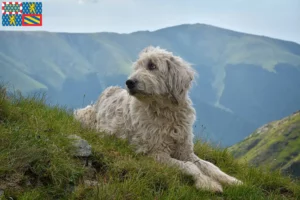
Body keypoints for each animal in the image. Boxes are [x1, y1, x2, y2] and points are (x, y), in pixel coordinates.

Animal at [74, 46, 243, 191]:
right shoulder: (155, 153)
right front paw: (207, 183)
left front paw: (232, 180)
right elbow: (190, 166)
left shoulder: (185, 151)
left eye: (152, 66)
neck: (167, 114)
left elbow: (210, 166)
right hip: (85, 114)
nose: (129, 82)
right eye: (137, 67)